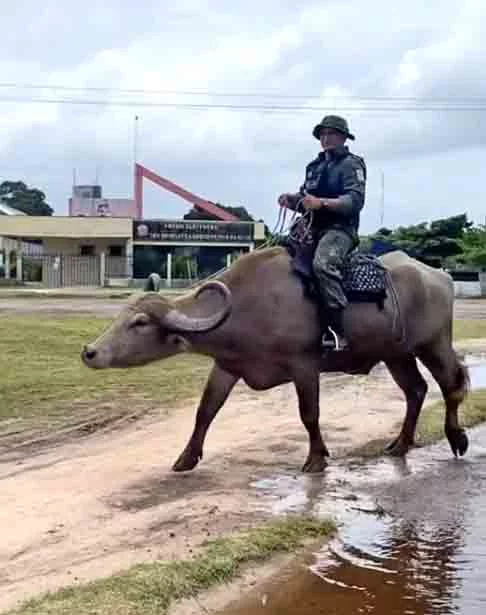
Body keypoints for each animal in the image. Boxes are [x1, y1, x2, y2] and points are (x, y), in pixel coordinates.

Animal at [81, 248, 468, 474]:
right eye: (121, 315)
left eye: (140, 323)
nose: (89, 352)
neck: (245, 306)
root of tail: (439, 275)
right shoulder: (227, 366)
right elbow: (206, 410)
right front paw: (186, 458)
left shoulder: (304, 366)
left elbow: (309, 414)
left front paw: (316, 459)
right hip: (396, 354)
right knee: (416, 391)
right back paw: (400, 444)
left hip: (433, 344)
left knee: (452, 382)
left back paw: (456, 439)